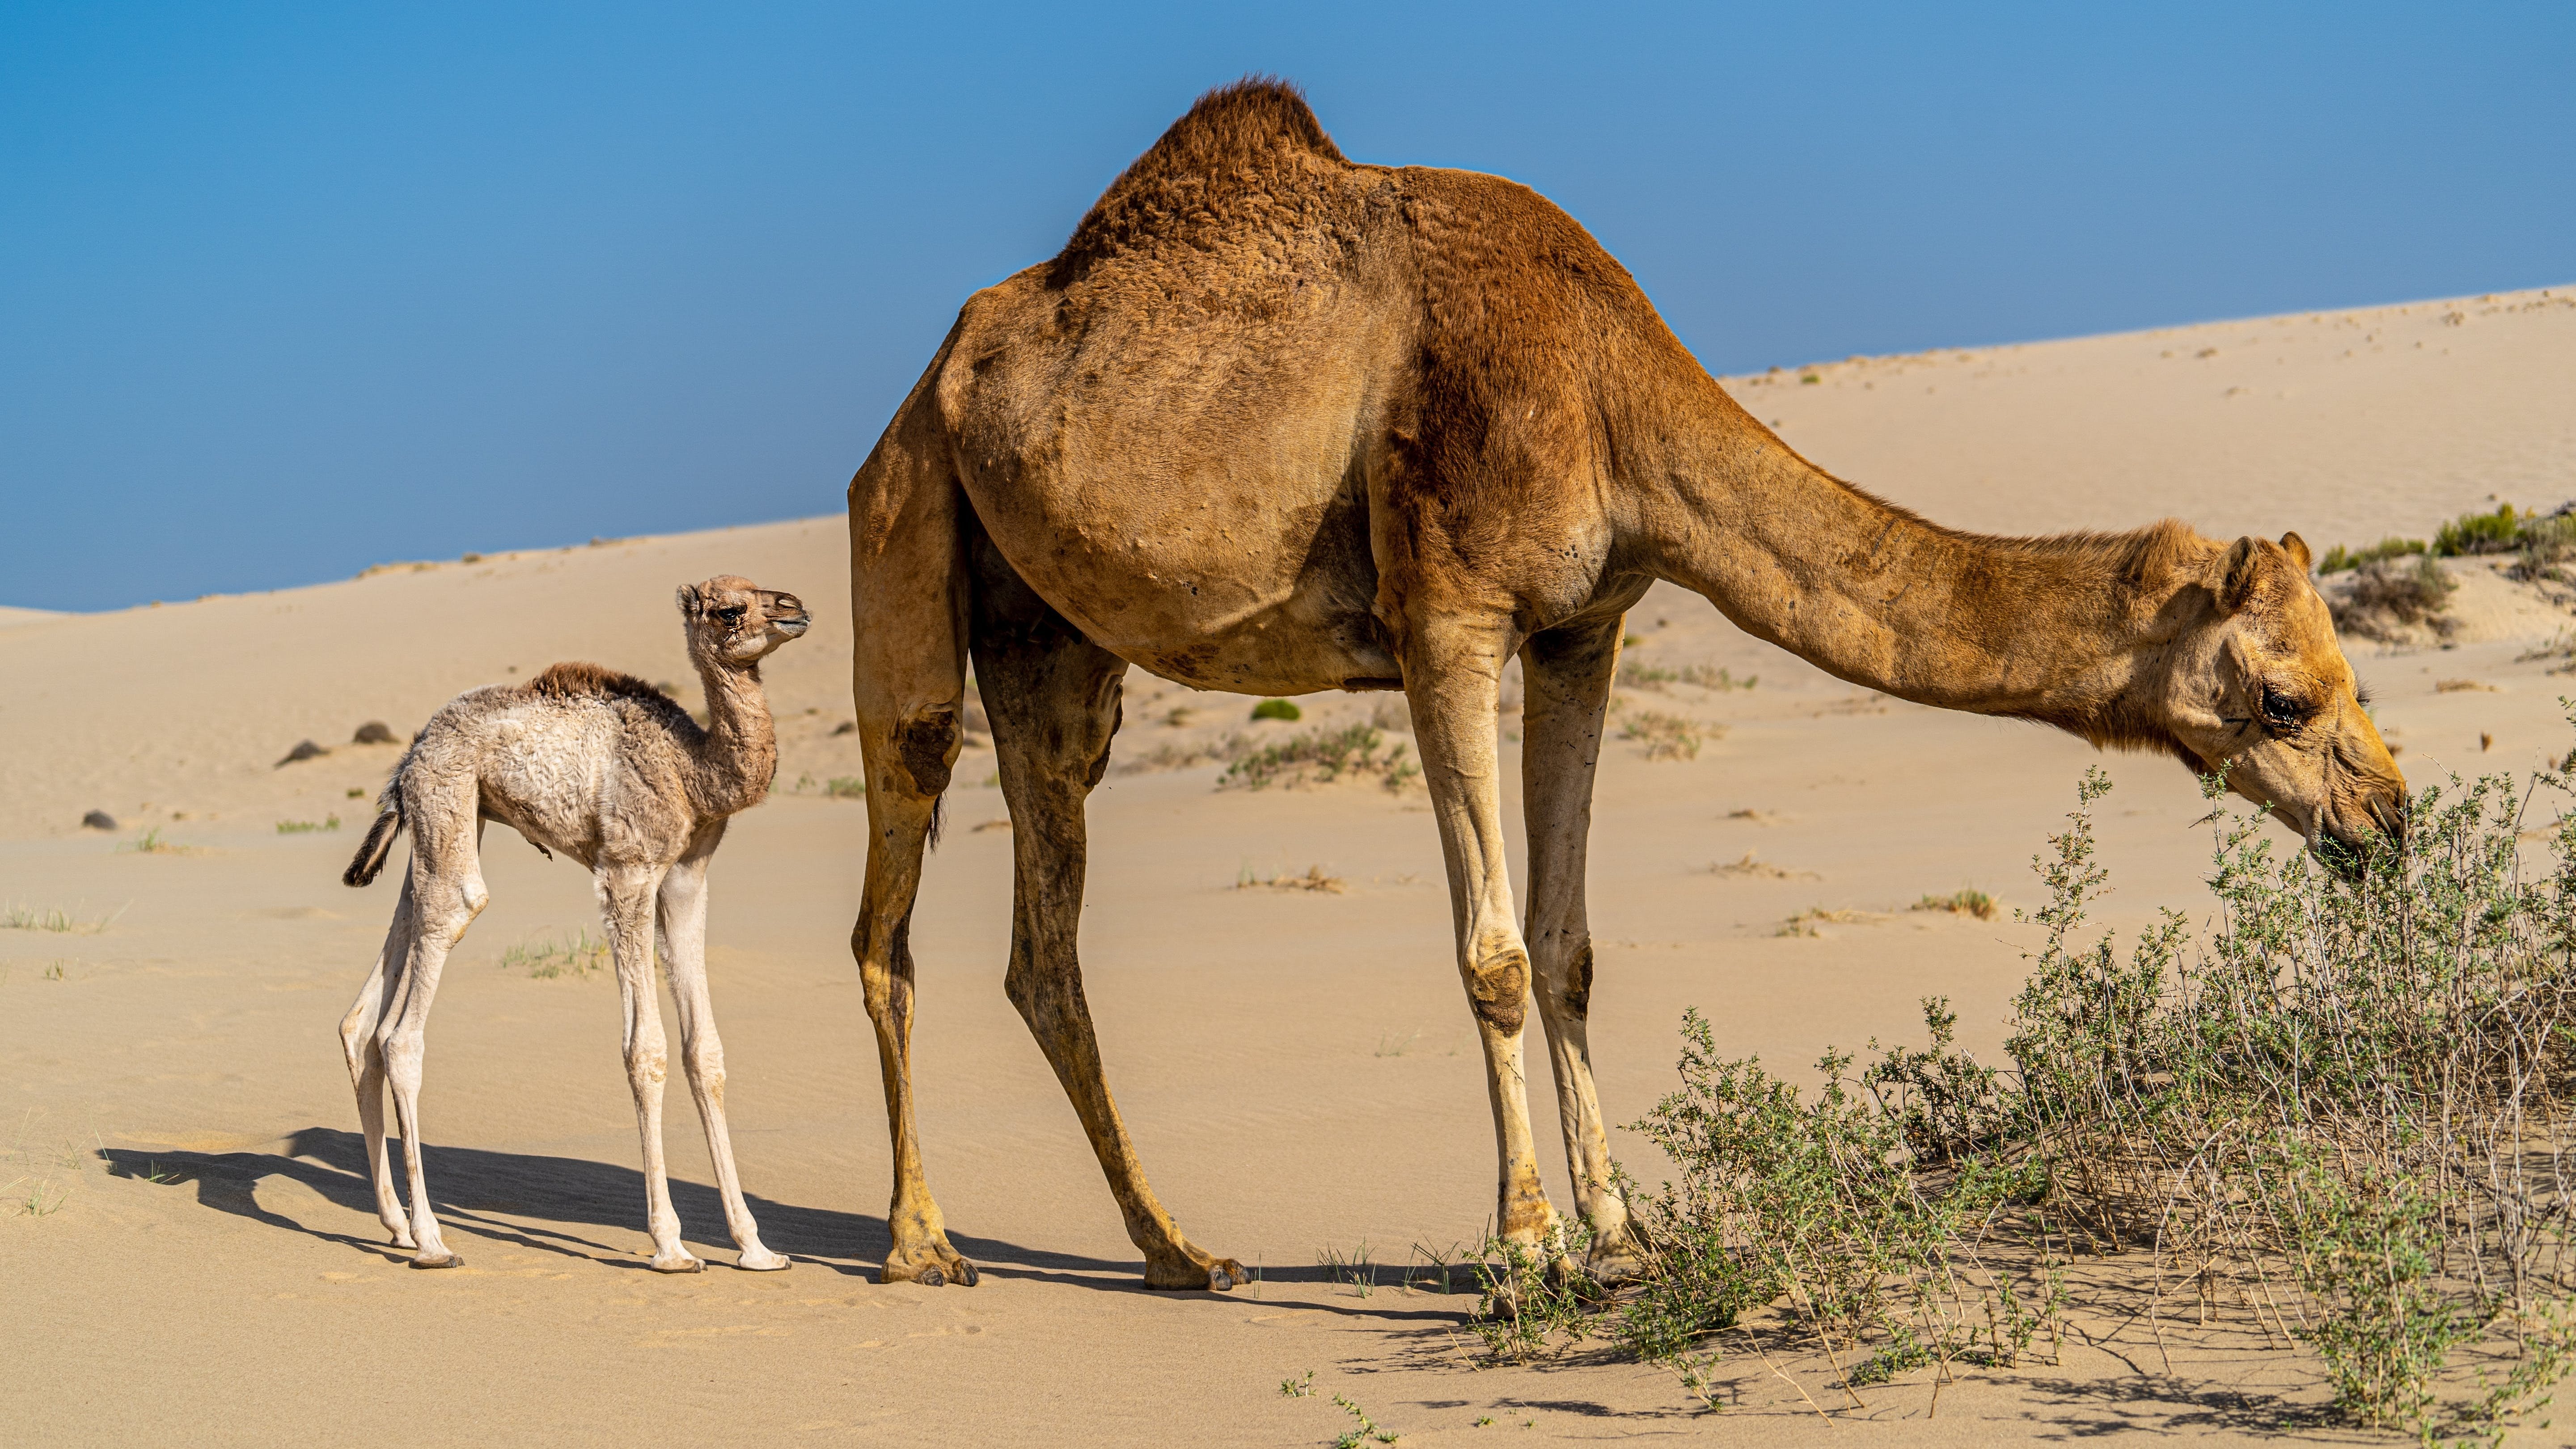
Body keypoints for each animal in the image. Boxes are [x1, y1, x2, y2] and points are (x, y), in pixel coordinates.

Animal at [340, 572, 804, 1263]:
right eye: (729, 610)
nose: (795, 610)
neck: (692, 771)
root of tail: (410, 756)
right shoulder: (627, 871)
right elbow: (647, 1051)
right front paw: (671, 1246)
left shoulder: (687, 880)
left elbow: (705, 1053)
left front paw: (756, 1247)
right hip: (447, 799)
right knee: (404, 1026)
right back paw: (432, 1239)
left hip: (444, 825)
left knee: (365, 1015)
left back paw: (396, 1223)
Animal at [850, 79, 2411, 1279]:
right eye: (2286, 699)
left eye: (2353, 681)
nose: (2391, 819)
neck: (1606, 389)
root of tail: (939, 366)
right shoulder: (1446, 614)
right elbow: (1492, 950)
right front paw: (1529, 1247)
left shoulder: (1580, 628)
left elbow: (1571, 943)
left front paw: (1624, 1235)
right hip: (906, 526)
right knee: (896, 874)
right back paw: (923, 1247)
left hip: (1056, 651)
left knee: (1044, 940)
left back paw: (1180, 1255)